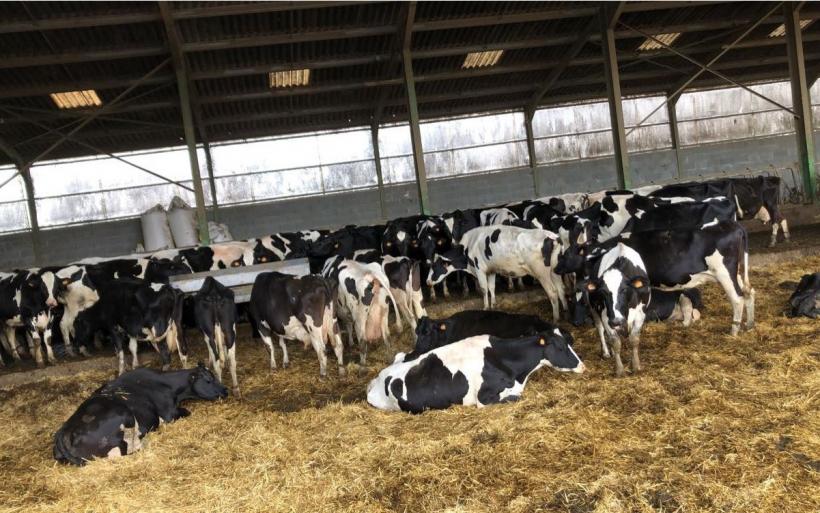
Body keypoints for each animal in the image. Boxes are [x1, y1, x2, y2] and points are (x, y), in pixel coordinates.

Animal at [53, 364, 227, 464]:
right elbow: (185, 412)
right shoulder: (169, 413)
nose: (226, 390)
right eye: (209, 380)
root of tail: (64, 431)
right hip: (123, 415)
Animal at [368, 332, 588, 412]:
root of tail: (376, 380)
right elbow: (516, 398)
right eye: (561, 347)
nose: (583, 366)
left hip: (402, 355)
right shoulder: (484, 398)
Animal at [426, 226, 568, 318]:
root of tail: (553, 236)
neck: (468, 246)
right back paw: (565, 311)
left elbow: (484, 289)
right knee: (561, 289)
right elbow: (491, 287)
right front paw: (493, 305)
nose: (427, 281)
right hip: (554, 271)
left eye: (435, 266)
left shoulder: (480, 269)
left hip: (541, 273)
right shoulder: (491, 270)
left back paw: (556, 318)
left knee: (553, 292)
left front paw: (485, 307)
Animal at [572, 242, 652, 374]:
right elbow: (615, 341)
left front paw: (635, 365)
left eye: (624, 289)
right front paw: (619, 370)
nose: (616, 321)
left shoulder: (641, 313)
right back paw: (607, 352)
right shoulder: (606, 316)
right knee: (600, 329)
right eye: (603, 292)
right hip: (594, 309)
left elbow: (634, 339)